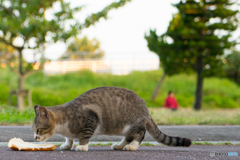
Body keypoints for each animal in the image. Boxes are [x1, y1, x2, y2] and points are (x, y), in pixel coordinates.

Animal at [32, 87, 191, 151]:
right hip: (125, 128)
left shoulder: (91, 118)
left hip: (131, 124)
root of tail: (146, 109)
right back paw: (119, 146)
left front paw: (82, 146)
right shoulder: (70, 131)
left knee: (140, 134)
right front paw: (67, 144)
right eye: (33, 130)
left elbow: (84, 135)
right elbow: (69, 138)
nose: (34, 138)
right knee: (128, 137)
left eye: (38, 130)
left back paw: (132, 146)